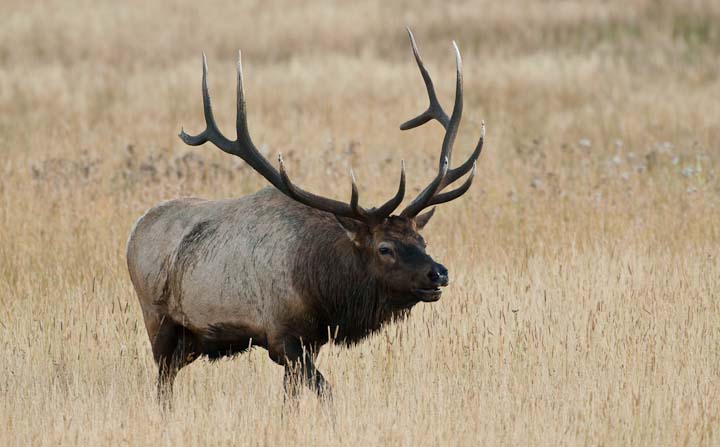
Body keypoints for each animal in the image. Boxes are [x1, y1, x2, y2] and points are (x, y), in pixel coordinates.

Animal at [126, 29, 484, 402]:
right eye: (385, 248)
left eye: (421, 239)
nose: (438, 273)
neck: (323, 287)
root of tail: (135, 229)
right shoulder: (282, 336)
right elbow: (326, 391)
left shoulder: (312, 340)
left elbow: (293, 397)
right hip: (158, 319)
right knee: (163, 380)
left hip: (192, 339)